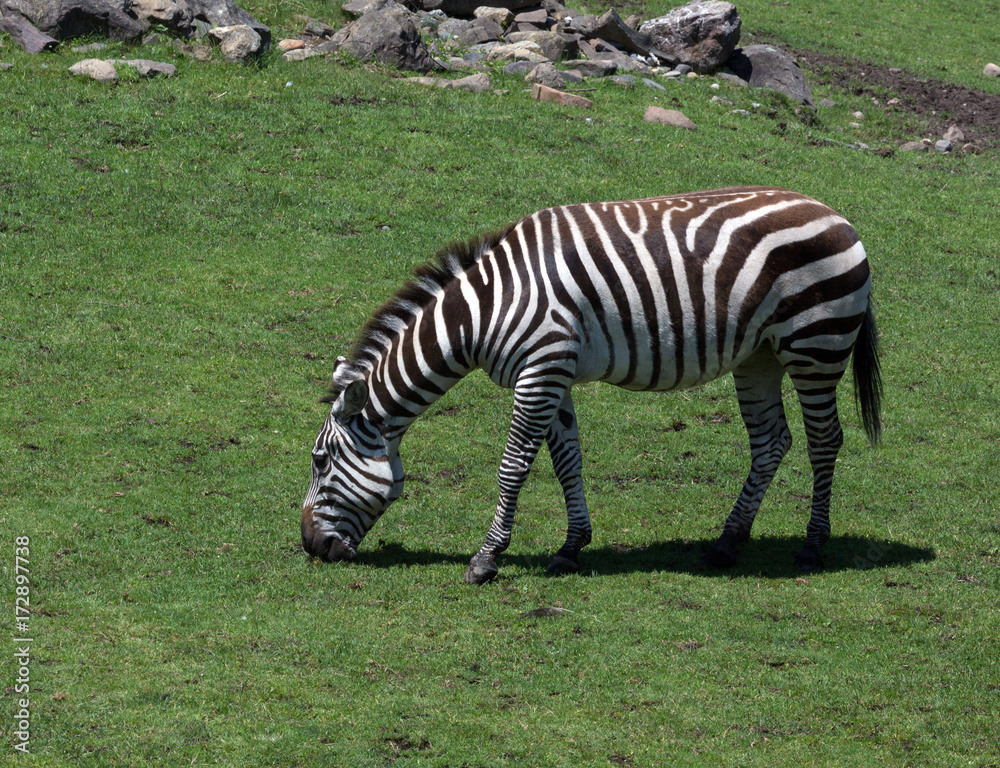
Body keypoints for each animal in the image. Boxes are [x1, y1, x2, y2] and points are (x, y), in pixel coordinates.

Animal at [301, 186, 882, 583]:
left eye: (319, 461)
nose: (309, 546)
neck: (482, 312)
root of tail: (835, 214)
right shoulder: (553, 373)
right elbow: (567, 461)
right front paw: (571, 547)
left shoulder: (541, 368)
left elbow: (513, 466)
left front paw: (487, 559)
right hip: (759, 355)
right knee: (771, 441)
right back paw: (726, 543)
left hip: (816, 343)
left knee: (824, 440)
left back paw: (812, 547)